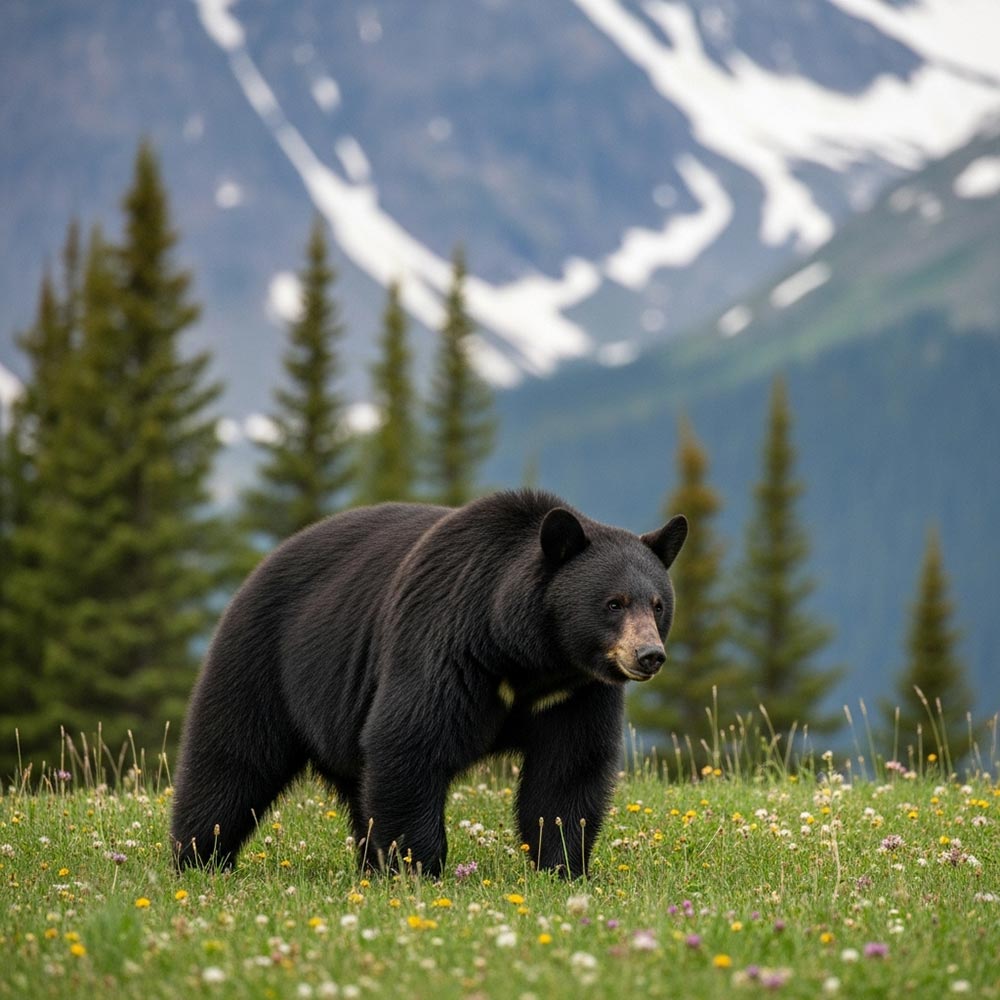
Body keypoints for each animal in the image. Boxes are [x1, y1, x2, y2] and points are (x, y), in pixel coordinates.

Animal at [170, 489, 687, 878]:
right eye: (614, 603)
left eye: (658, 604)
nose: (649, 655)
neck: (529, 656)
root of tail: (261, 566)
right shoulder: (446, 645)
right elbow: (410, 741)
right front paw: (419, 867)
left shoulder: (576, 692)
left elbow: (569, 771)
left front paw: (563, 866)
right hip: (264, 662)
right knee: (231, 760)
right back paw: (198, 858)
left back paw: (367, 864)